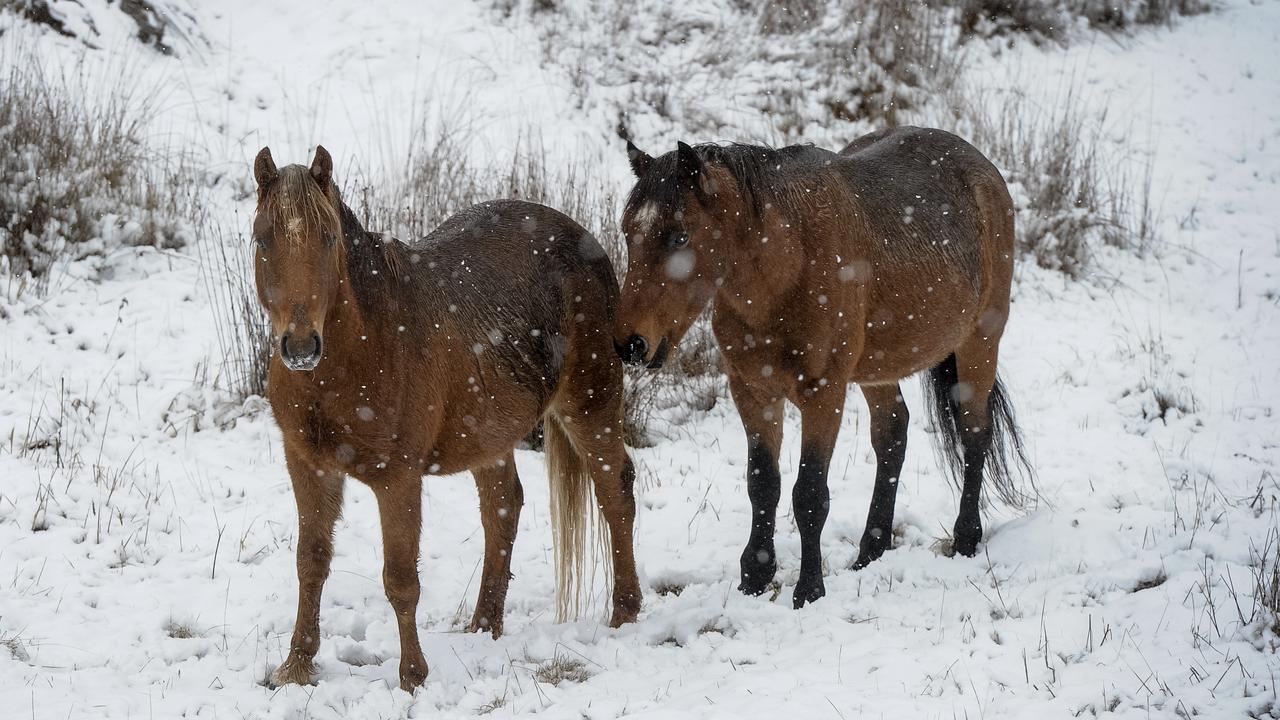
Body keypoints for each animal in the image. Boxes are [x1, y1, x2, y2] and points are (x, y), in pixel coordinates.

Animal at [249, 142, 640, 686]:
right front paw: (296, 665)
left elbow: (400, 579)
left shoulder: (397, 478)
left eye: (328, 239)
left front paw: (412, 676)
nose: (301, 346)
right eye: (262, 239)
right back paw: (484, 627)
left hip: (590, 402)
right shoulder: (308, 466)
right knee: (503, 508)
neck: (361, 350)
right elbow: (311, 562)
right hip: (491, 433)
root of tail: (584, 237)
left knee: (614, 491)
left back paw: (624, 612)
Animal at [614, 127, 1034, 604]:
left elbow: (810, 493)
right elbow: (763, 485)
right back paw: (870, 550)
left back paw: (965, 538)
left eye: (680, 237)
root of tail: (982, 167)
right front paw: (754, 577)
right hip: (878, 368)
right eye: (628, 233)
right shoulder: (753, 391)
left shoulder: (823, 393)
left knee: (974, 431)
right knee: (893, 434)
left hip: (980, 341)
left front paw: (808, 589)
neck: (785, 266)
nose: (630, 343)